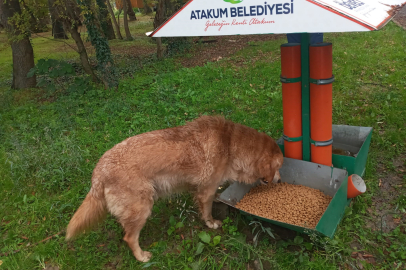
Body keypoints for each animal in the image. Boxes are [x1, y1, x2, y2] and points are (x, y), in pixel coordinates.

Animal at [66, 115, 282, 262]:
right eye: (279, 166)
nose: (280, 182)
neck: (230, 143)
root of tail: (98, 172)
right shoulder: (206, 190)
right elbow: (207, 211)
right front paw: (211, 223)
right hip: (143, 207)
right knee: (129, 237)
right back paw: (142, 257)